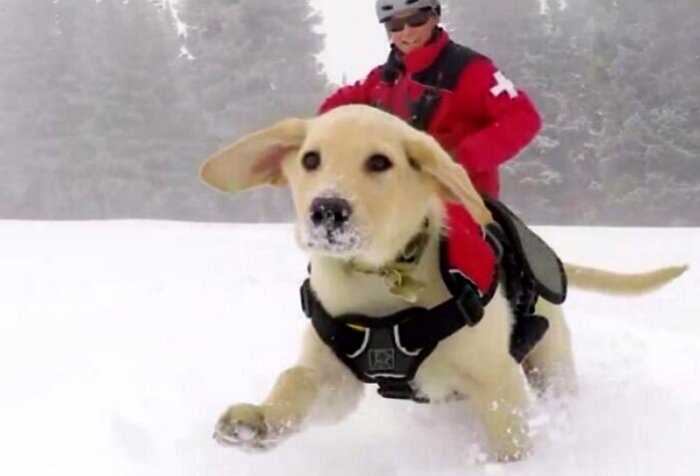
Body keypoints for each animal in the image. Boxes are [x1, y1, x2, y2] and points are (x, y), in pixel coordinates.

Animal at [200, 104, 688, 462]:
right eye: (310, 159)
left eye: (380, 162)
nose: (327, 210)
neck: (381, 282)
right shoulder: (333, 373)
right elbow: (295, 381)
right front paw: (259, 420)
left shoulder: (496, 378)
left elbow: (510, 440)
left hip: (550, 362)